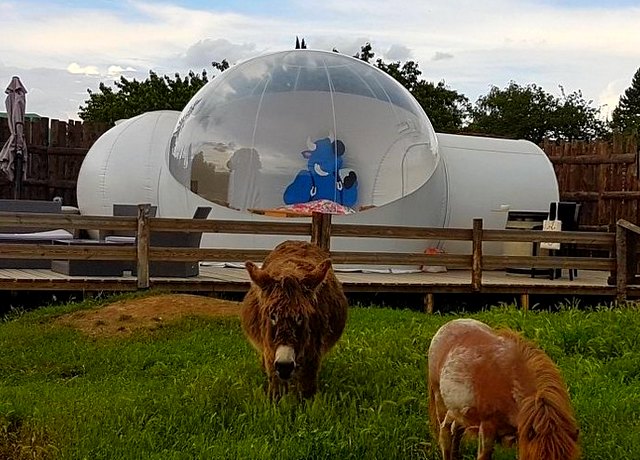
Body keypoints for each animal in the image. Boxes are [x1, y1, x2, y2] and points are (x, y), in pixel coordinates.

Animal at [241, 241, 350, 398]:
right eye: (272, 316)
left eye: (301, 318)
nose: (284, 366)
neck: (289, 271)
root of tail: (298, 241)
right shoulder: (269, 350)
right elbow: (276, 389)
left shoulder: (313, 352)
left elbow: (307, 390)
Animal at [424, 320, 580, 460]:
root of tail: (445, 327)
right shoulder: (487, 427)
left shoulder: (521, 432)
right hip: (440, 401)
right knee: (445, 433)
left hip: (458, 411)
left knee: (455, 431)